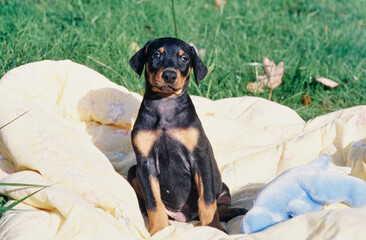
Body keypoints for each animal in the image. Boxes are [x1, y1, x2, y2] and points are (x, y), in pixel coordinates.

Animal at [128, 37, 246, 234]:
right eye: (156, 55)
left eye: (184, 59)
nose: (169, 75)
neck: (165, 104)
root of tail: (186, 217)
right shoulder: (145, 163)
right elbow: (154, 203)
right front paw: (160, 230)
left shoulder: (200, 158)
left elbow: (207, 201)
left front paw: (214, 229)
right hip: (133, 171)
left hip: (223, 187)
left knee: (219, 206)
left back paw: (235, 211)